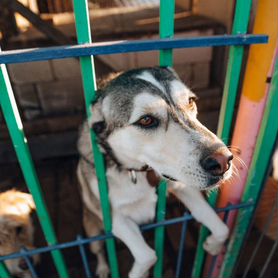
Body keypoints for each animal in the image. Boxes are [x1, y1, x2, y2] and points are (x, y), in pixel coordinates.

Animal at [77, 67, 233, 278]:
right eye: (146, 120)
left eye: (190, 101)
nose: (224, 161)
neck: (138, 172)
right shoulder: (114, 216)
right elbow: (147, 255)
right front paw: (137, 274)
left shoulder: (183, 186)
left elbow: (220, 226)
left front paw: (214, 246)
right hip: (92, 230)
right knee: (99, 250)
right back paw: (102, 268)